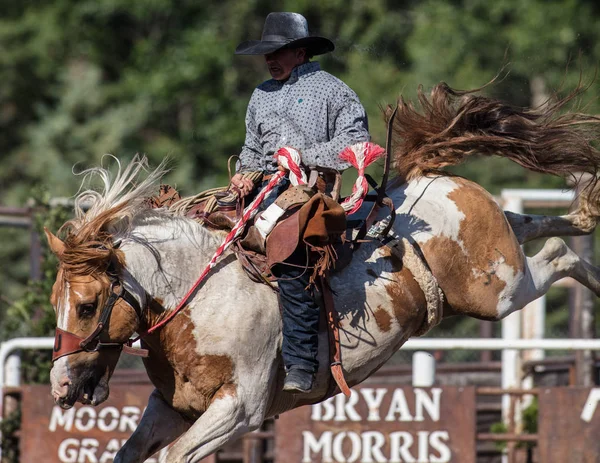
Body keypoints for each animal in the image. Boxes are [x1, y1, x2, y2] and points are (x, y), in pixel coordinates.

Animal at [45, 84, 600, 463]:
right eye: (56, 304)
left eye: (88, 305)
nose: (61, 387)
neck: (201, 300)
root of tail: (427, 176)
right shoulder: (170, 406)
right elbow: (129, 452)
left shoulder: (240, 410)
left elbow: (173, 456)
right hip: (500, 258)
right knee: (538, 225)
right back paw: (586, 219)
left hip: (499, 289)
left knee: (556, 253)